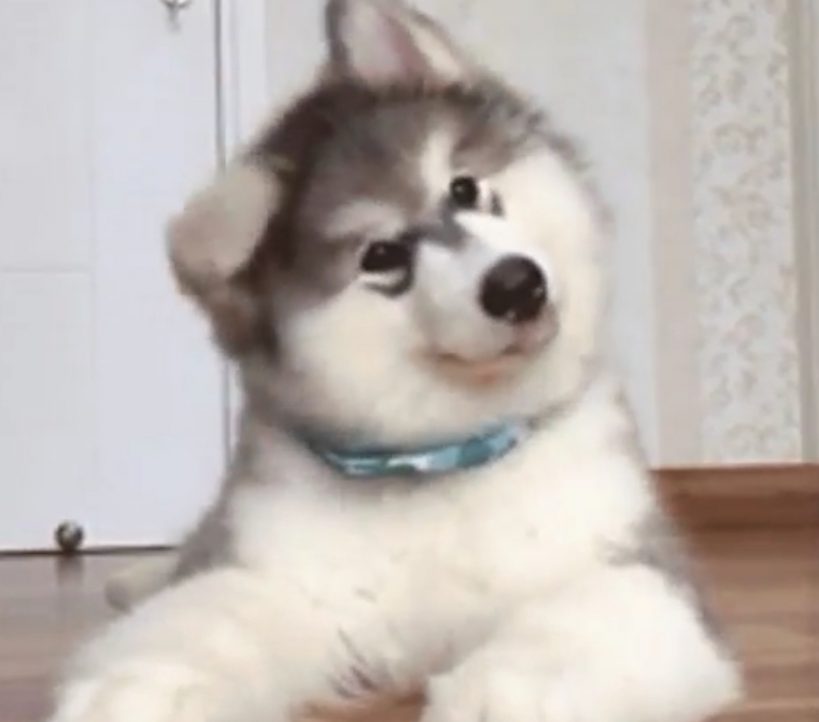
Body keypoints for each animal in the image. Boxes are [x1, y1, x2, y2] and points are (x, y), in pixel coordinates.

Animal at [49, 2, 741, 722]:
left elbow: (576, 628)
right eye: (381, 256)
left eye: (463, 188)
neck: (444, 459)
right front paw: (134, 689)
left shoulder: (629, 566)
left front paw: (501, 693)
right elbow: (199, 621)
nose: (517, 284)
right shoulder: (287, 578)